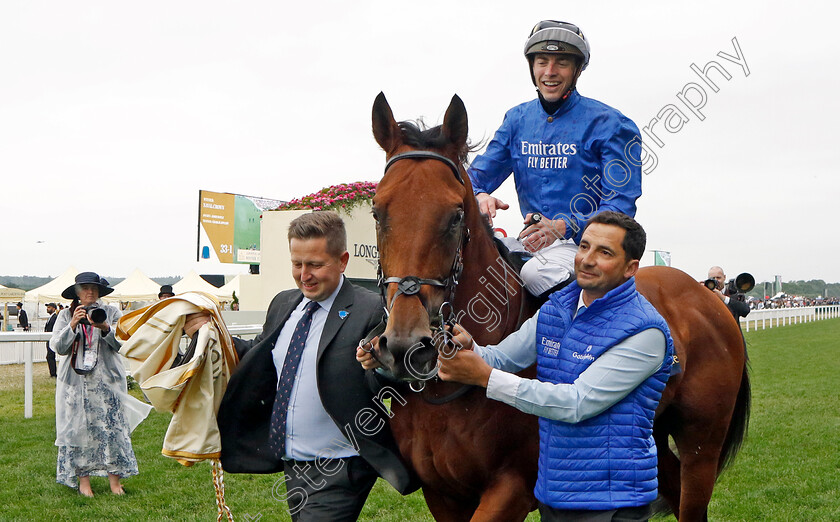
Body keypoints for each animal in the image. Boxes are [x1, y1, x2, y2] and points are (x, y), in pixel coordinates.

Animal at [370, 91, 752, 516]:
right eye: (377, 211)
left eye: (455, 216)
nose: (406, 346)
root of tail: (709, 297)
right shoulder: (441, 493)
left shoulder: (512, 486)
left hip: (701, 443)